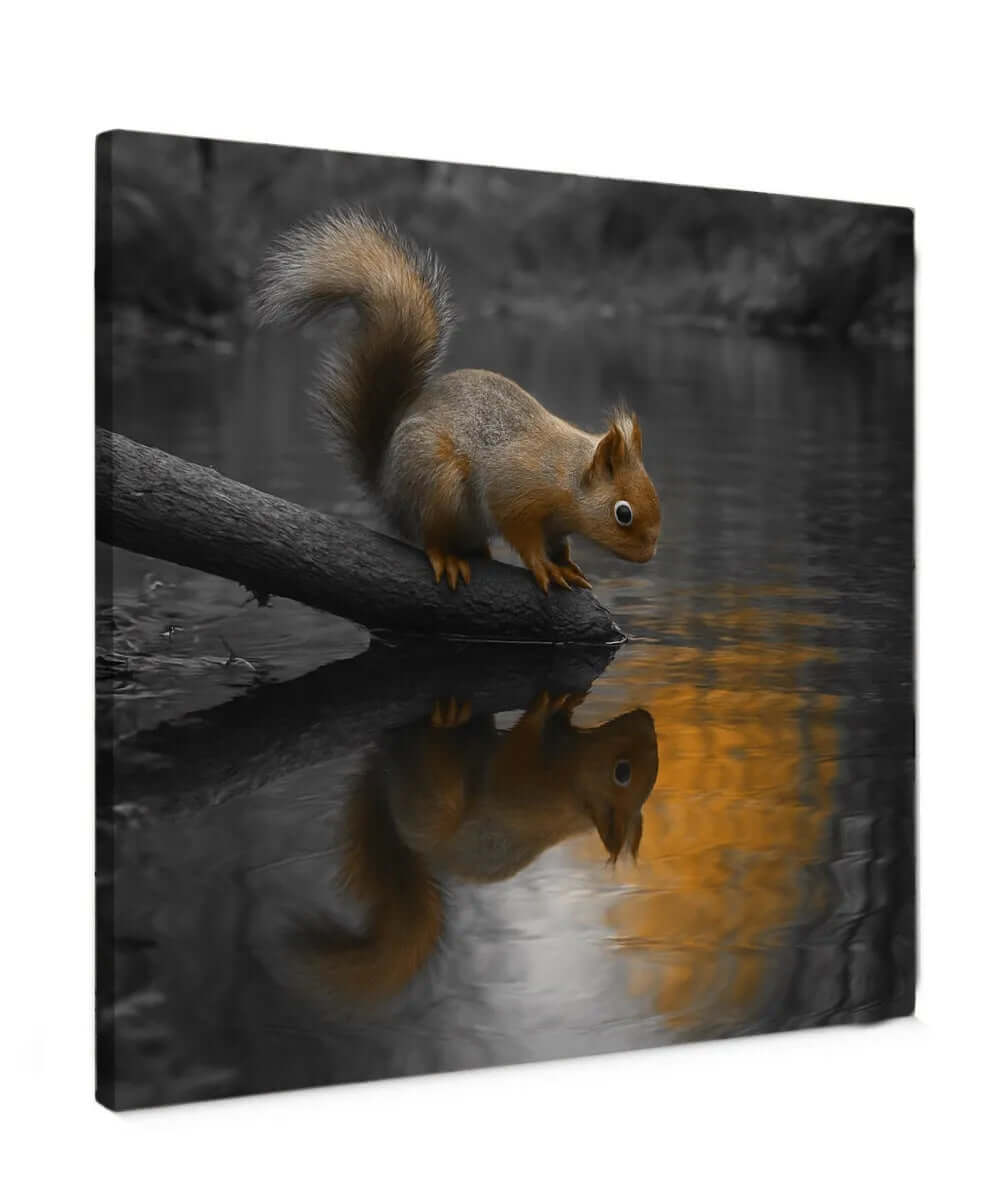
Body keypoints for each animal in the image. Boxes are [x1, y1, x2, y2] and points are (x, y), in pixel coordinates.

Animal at [256, 210, 661, 592]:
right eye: (622, 513)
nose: (649, 555)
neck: (564, 473)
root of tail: (386, 490)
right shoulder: (513, 490)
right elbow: (522, 535)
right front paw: (544, 566)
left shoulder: (556, 524)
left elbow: (558, 543)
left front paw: (567, 563)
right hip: (436, 484)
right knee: (431, 536)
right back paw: (447, 556)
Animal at [287, 691, 658, 1007]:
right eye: (623, 772)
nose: (647, 718)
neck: (573, 791)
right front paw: (563, 707)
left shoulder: (523, 794)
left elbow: (513, 758)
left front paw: (541, 711)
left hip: (433, 801)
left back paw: (442, 733)